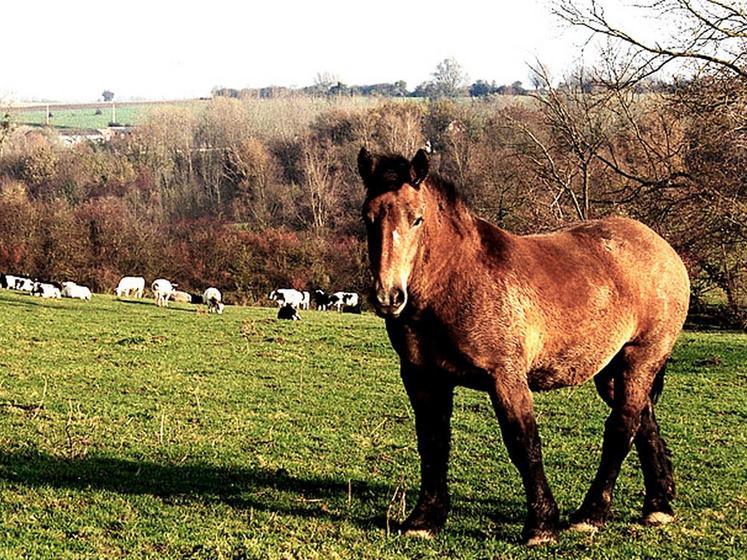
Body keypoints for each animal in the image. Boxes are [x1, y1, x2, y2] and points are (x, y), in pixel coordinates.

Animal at [360, 147, 692, 544]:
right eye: (367, 217)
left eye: (417, 219)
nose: (388, 297)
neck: (457, 280)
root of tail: (662, 248)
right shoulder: (422, 378)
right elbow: (432, 442)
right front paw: (424, 520)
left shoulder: (505, 377)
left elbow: (523, 444)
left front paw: (541, 525)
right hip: (611, 371)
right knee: (643, 421)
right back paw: (659, 505)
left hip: (640, 359)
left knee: (621, 428)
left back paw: (590, 513)